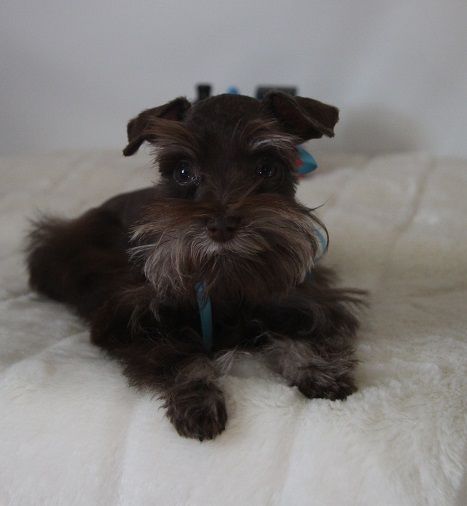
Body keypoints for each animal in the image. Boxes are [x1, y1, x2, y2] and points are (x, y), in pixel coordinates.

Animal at [26, 93, 366, 440]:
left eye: (267, 168)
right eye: (183, 171)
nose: (222, 226)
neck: (224, 274)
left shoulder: (302, 299)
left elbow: (301, 334)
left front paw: (320, 371)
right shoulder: (135, 321)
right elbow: (182, 358)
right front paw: (198, 403)